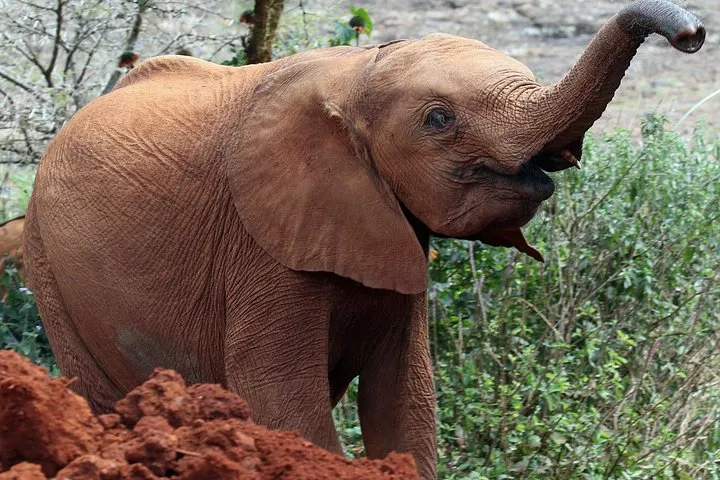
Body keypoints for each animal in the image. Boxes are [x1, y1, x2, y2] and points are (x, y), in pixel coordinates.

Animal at [23, 1, 704, 478]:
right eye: (438, 119)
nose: (693, 34)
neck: (359, 72)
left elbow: (406, 395)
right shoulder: (262, 239)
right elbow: (280, 396)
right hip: (49, 271)